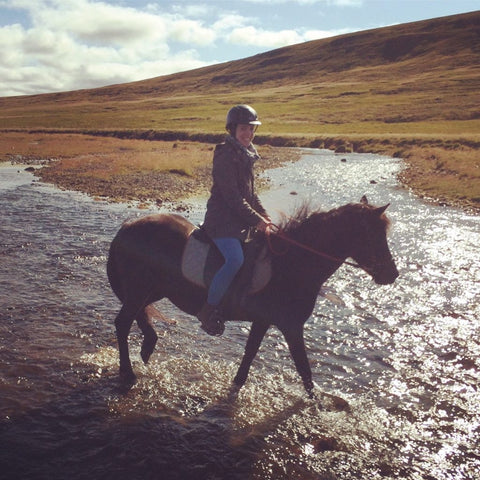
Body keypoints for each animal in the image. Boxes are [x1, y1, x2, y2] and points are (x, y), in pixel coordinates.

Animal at [108, 197, 398, 396]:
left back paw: (148, 346)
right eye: (374, 236)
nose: (392, 274)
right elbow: (304, 368)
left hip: (150, 290)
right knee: (123, 323)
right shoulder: (291, 326)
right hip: (139, 289)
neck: (293, 263)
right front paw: (318, 408)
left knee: (139, 316)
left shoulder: (263, 321)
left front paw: (236, 385)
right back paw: (128, 372)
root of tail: (126, 227)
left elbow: (250, 354)